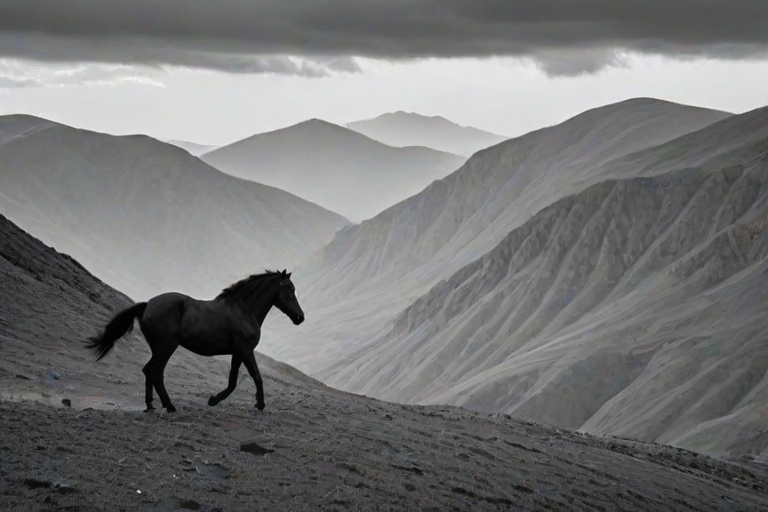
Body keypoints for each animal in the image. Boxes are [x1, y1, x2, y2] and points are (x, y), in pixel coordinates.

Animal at [85, 269, 305, 413]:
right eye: (290, 289)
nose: (300, 317)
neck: (242, 310)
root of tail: (147, 305)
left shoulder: (237, 353)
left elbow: (233, 381)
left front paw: (214, 400)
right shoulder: (245, 350)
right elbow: (256, 376)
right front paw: (259, 404)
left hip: (160, 348)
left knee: (149, 371)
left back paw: (151, 405)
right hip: (166, 347)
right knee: (155, 372)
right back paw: (169, 406)